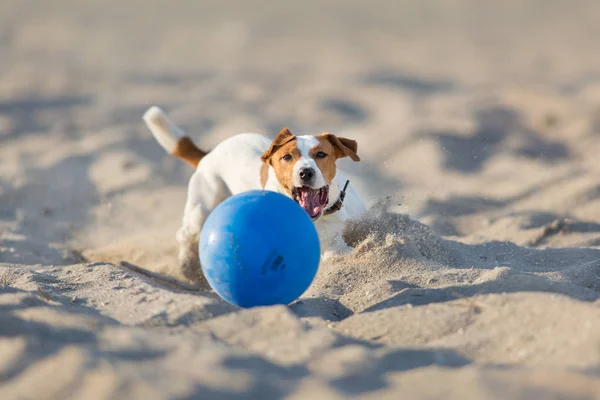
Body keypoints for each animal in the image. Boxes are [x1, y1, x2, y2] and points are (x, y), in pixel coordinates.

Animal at [144, 104, 366, 282]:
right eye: (287, 157)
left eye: (321, 154)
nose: (305, 172)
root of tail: (209, 154)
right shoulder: (330, 248)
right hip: (201, 208)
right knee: (186, 234)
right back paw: (187, 268)